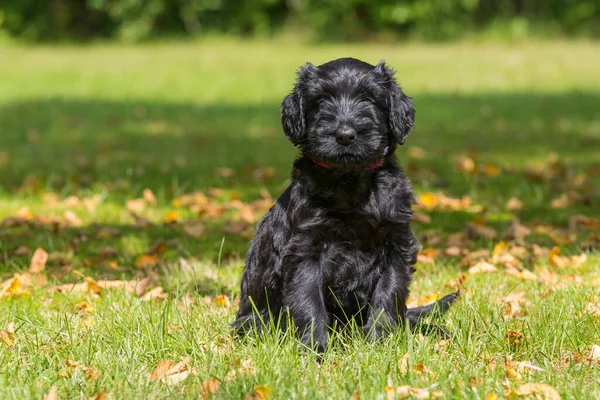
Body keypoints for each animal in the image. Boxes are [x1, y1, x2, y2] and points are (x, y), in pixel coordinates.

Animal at [232, 57, 458, 352]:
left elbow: (389, 295)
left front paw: (381, 343)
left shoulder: (397, 244)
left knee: (405, 315)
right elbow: (309, 301)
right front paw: (315, 349)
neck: (350, 182)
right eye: (322, 100)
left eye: (369, 99)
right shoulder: (304, 250)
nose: (345, 135)